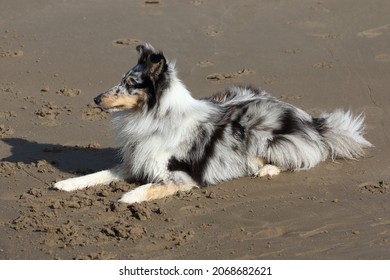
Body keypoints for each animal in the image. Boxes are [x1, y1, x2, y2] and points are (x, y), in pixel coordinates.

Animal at [53, 43, 374, 203]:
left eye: (130, 84)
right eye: (121, 80)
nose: (95, 99)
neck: (153, 117)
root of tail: (311, 122)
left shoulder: (180, 176)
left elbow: (153, 187)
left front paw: (128, 196)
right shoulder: (136, 161)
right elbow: (98, 174)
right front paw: (67, 183)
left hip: (258, 138)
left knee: (302, 158)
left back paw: (268, 170)